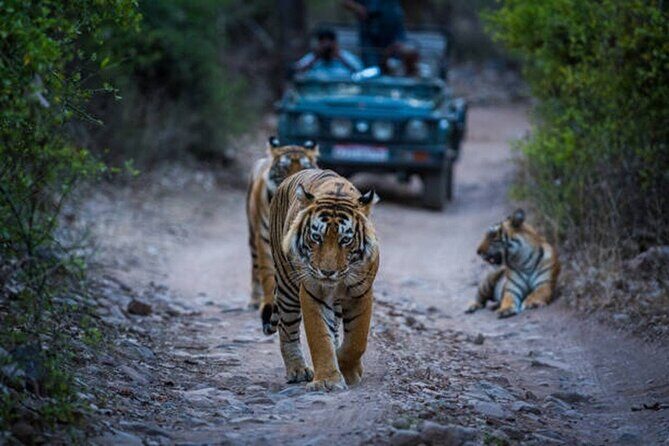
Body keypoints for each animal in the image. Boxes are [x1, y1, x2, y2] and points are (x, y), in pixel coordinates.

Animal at [246, 136, 318, 325]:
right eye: (284, 167)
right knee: (255, 267)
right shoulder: (264, 239)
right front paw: (268, 305)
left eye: (305, 167)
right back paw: (254, 300)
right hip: (252, 234)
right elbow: (267, 273)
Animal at [267, 169, 380, 391]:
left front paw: (347, 369)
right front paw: (328, 380)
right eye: (316, 237)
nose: (327, 272)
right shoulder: (313, 292)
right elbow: (320, 337)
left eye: (345, 240)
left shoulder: (362, 292)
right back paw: (298, 370)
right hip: (286, 285)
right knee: (287, 329)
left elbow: (357, 339)